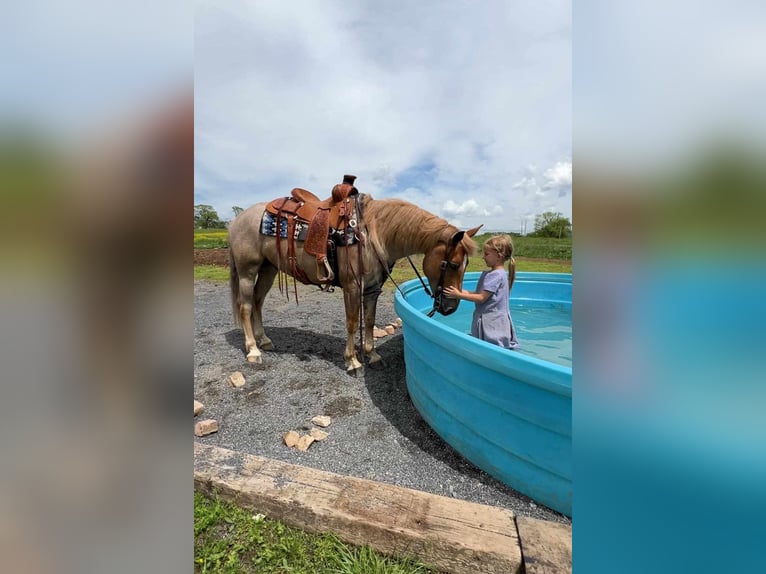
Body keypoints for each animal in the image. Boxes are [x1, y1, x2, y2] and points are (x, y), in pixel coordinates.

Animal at [228, 189, 484, 374]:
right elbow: (352, 322)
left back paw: (264, 340)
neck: (372, 234)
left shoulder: (372, 290)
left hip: (268, 269)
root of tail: (238, 219)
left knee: (258, 302)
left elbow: (368, 321)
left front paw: (372, 355)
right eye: (452, 264)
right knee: (246, 306)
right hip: (247, 271)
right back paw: (253, 350)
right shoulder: (352, 287)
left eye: (466, 265)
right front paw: (352, 361)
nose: (450, 308)